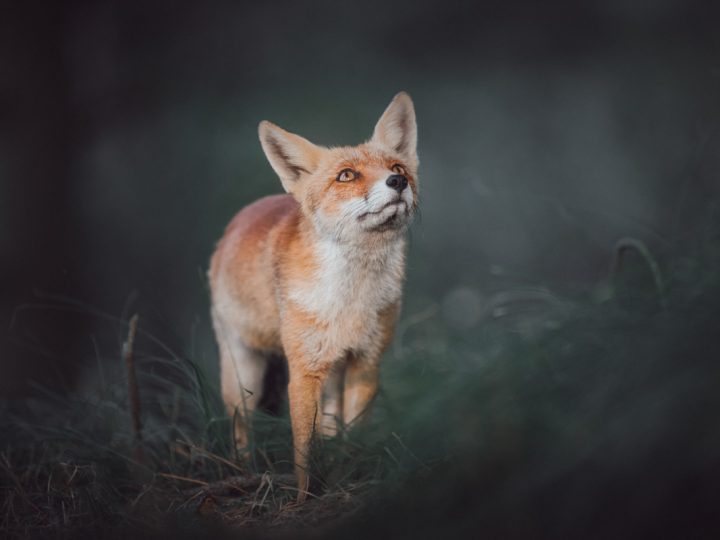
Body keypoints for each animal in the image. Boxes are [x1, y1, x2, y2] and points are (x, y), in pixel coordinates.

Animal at [208, 90, 420, 500]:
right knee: (241, 427)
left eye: (397, 165)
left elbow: (352, 437)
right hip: (243, 374)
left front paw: (351, 477)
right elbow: (304, 452)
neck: (352, 298)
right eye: (347, 175)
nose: (398, 181)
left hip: (332, 372)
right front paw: (304, 500)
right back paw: (243, 473)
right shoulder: (304, 372)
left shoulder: (365, 363)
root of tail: (240, 217)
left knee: (331, 425)